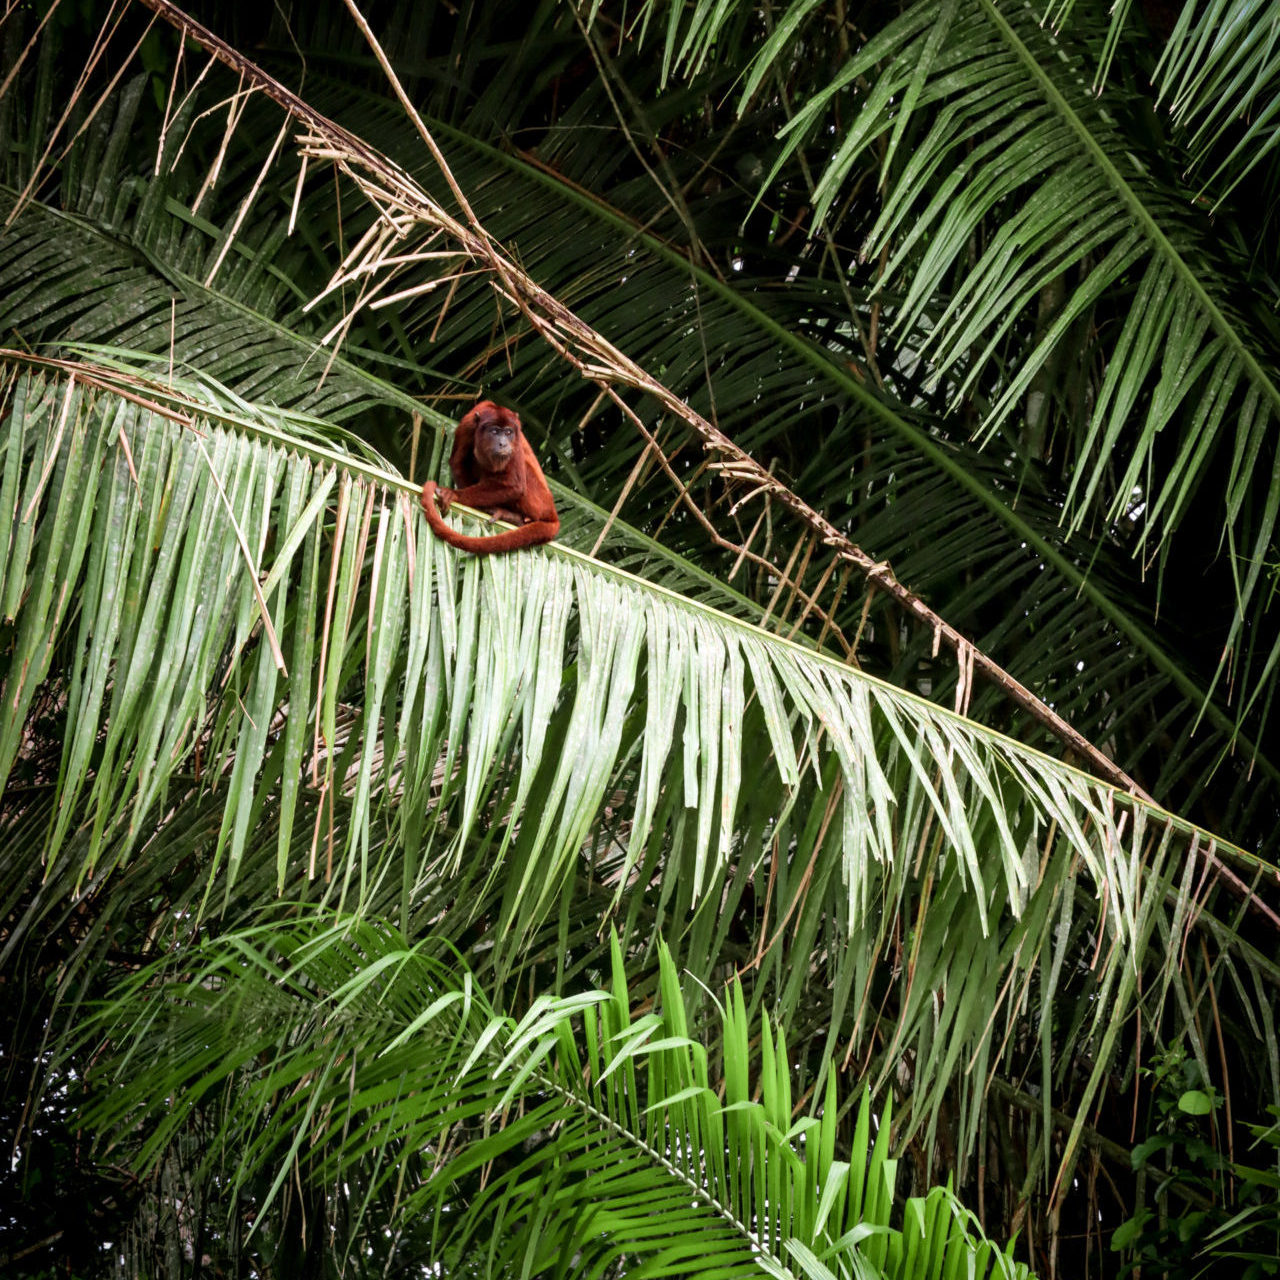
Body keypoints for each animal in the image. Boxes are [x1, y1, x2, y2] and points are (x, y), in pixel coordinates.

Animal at [419, 400, 560, 554]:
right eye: (495, 431)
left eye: (508, 432)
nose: (503, 443)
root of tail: (553, 513)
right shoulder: (466, 426)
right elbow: (458, 462)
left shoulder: (516, 439)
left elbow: (514, 485)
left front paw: (455, 494)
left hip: (539, 504)